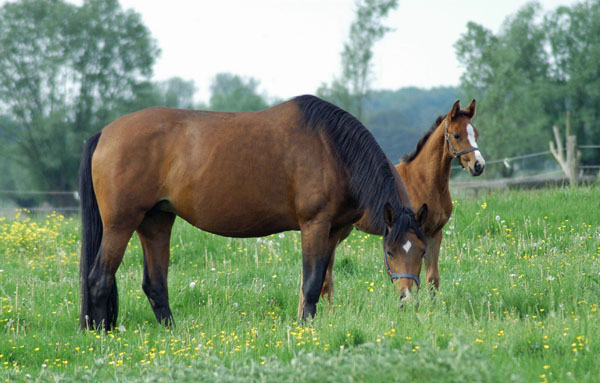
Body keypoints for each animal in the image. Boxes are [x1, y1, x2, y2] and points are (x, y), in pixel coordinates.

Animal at [79, 95, 426, 330]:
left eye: (422, 251)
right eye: (390, 252)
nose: (408, 301)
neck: (333, 148)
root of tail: (104, 134)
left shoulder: (332, 231)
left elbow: (321, 284)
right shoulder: (314, 225)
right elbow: (312, 282)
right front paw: (305, 329)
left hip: (156, 222)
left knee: (154, 285)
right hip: (121, 224)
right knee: (98, 279)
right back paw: (100, 336)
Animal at [318, 100, 482, 304]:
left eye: (476, 134)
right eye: (457, 135)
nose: (478, 165)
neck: (423, 180)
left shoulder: (435, 233)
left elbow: (432, 278)